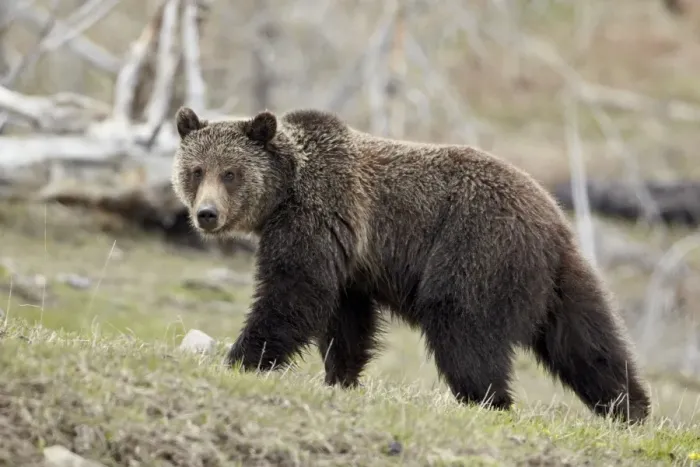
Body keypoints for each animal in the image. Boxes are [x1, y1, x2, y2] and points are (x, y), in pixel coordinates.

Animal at [171, 106, 651, 424]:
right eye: (196, 170)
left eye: (230, 172)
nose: (206, 214)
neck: (285, 190)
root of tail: (552, 218)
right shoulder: (350, 256)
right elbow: (346, 317)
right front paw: (341, 376)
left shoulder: (317, 216)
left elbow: (294, 291)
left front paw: (243, 358)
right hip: (560, 279)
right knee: (589, 343)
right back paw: (630, 408)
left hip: (476, 248)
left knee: (461, 324)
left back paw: (486, 399)